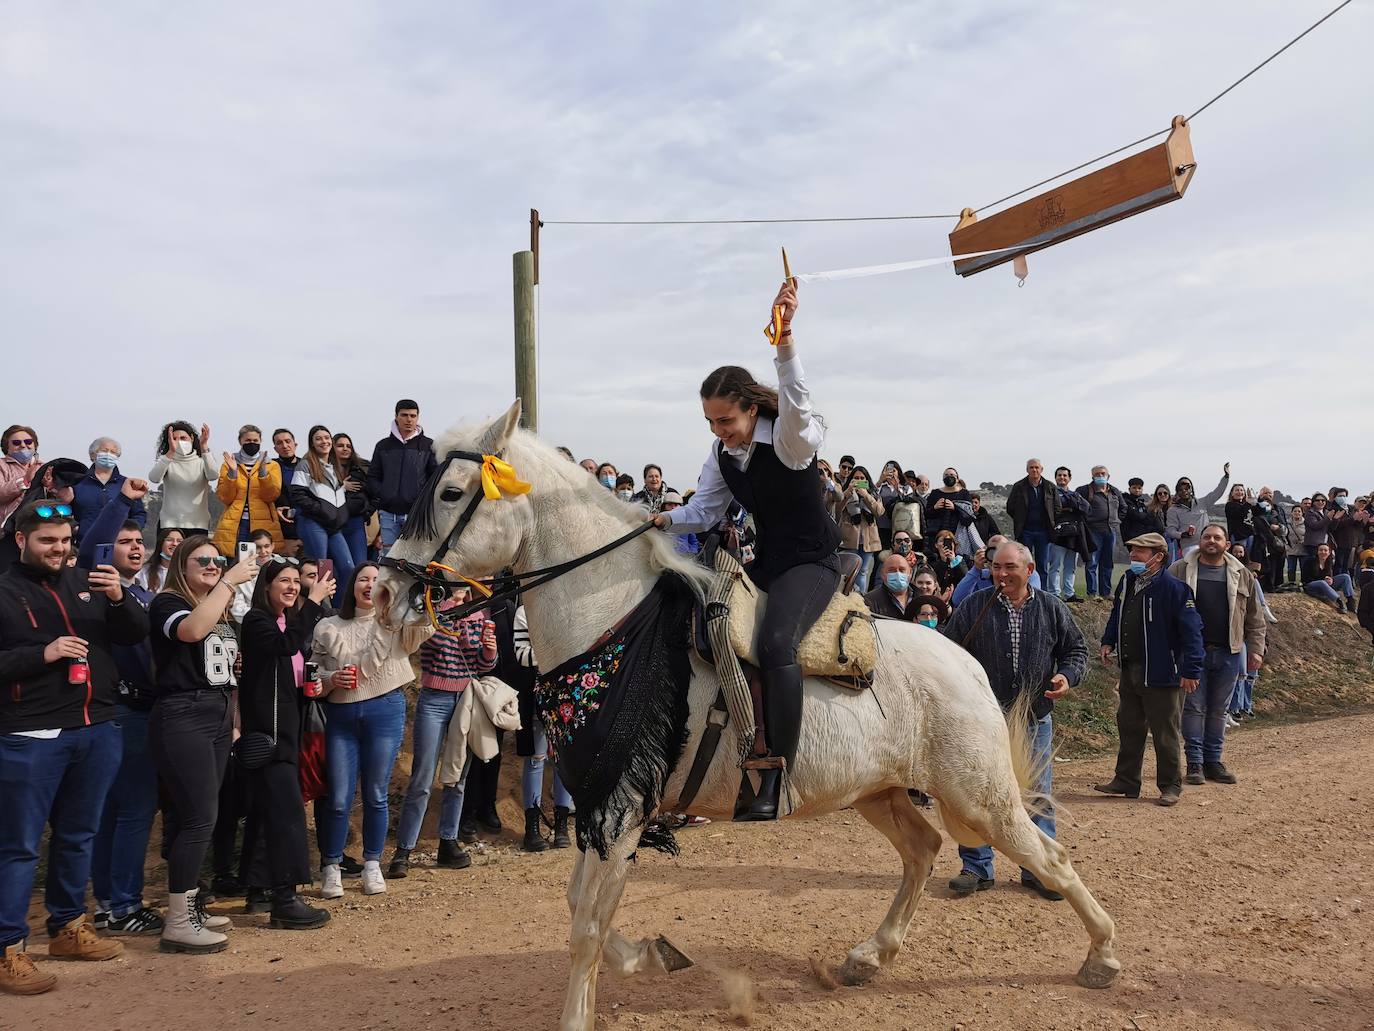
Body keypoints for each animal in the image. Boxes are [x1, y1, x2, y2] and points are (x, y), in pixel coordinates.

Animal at [376, 404, 1115, 1031]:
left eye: (450, 493)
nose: (384, 590)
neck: (615, 625)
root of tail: (967, 661)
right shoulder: (597, 801)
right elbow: (581, 910)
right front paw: (653, 953)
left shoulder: (622, 806)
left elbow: (585, 926)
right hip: (876, 791)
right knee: (923, 849)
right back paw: (868, 956)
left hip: (978, 794)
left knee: (1047, 855)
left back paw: (1102, 956)